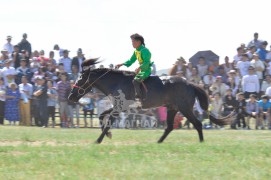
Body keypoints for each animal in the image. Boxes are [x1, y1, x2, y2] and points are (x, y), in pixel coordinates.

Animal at [67, 59, 234, 143]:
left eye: (80, 79)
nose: (70, 97)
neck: (117, 82)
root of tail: (190, 84)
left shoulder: (119, 108)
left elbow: (107, 122)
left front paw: (99, 140)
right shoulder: (119, 107)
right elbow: (102, 116)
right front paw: (107, 135)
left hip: (185, 109)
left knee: (197, 124)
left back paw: (201, 142)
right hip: (172, 108)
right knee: (169, 127)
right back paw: (158, 142)